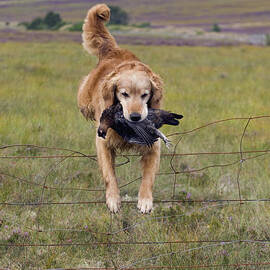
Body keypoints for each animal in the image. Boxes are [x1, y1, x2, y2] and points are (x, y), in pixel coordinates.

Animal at [77, 2, 163, 213]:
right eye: (124, 94)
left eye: (145, 95)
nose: (135, 117)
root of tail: (113, 50)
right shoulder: (103, 142)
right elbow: (110, 174)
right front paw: (114, 199)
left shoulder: (154, 145)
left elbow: (148, 177)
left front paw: (145, 200)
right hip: (83, 100)